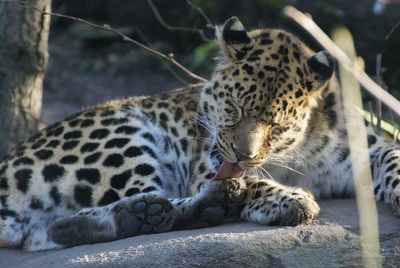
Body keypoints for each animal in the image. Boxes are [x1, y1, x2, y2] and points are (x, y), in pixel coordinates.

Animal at [0, 16, 400, 251]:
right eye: (234, 107)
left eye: (277, 126)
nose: (242, 154)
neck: (296, 153)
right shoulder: (207, 166)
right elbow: (252, 181)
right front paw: (287, 198)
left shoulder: (367, 148)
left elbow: (394, 158)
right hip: (119, 137)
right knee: (151, 200)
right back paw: (203, 204)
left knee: (55, 228)